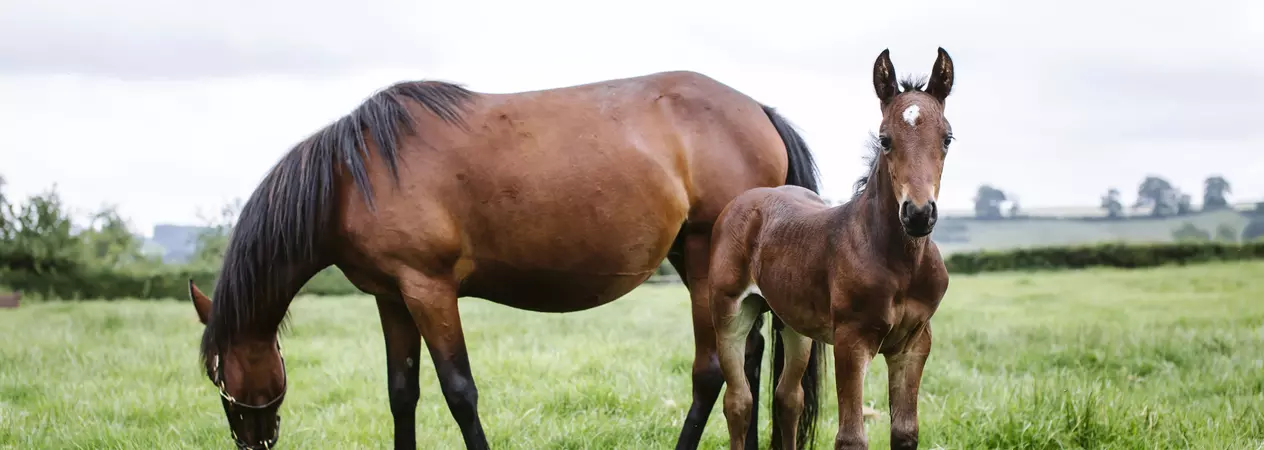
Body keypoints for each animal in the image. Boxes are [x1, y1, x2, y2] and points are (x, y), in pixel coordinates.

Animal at [184, 69, 825, 449]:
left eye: (217, 371)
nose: (252, 441)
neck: (353, 177)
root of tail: (759, 110)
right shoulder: (392, 297)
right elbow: (401, 392)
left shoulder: (428, 290)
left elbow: (459, 391)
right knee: (746, 359)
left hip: (699, 262)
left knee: (712, 371)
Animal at [709, 48, 956, 450]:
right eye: (885, 139)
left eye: (948, 138)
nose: (918, 214)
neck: (900, 262)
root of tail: (746, 200)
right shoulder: (851, 342)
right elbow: (851, 437)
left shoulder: (914, 344)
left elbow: (905, 432)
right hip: (730, 312)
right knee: (738, 401)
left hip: (793, 322)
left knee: (788, 398)